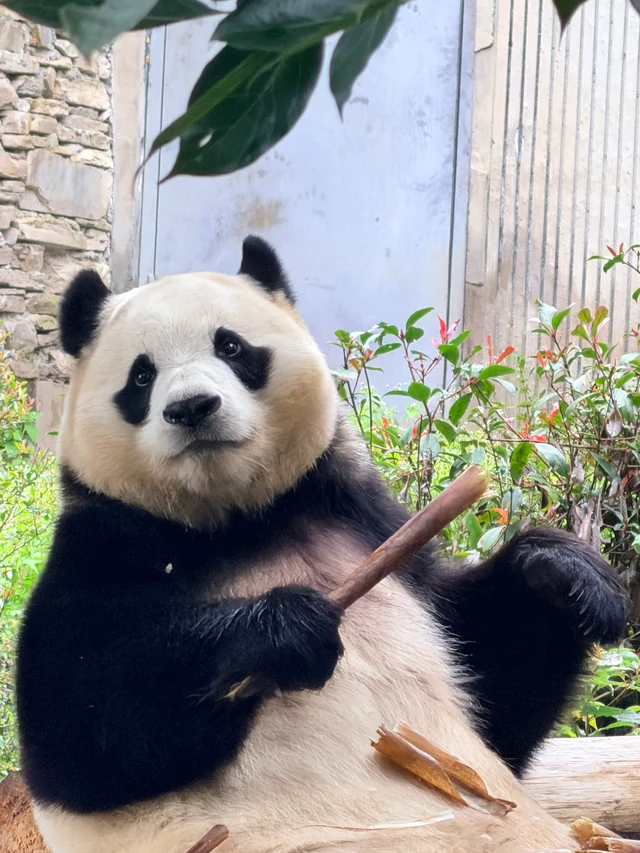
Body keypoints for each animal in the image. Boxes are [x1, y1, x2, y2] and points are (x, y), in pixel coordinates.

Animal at [16, 236, 627, 853]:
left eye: (230, 346)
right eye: (141, 377)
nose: (191, 408)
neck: (242, 519)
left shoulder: (361, 518)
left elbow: (496, 689)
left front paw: (565, 575)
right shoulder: (105, 542)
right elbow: (77, 732)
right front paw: (280, 630)